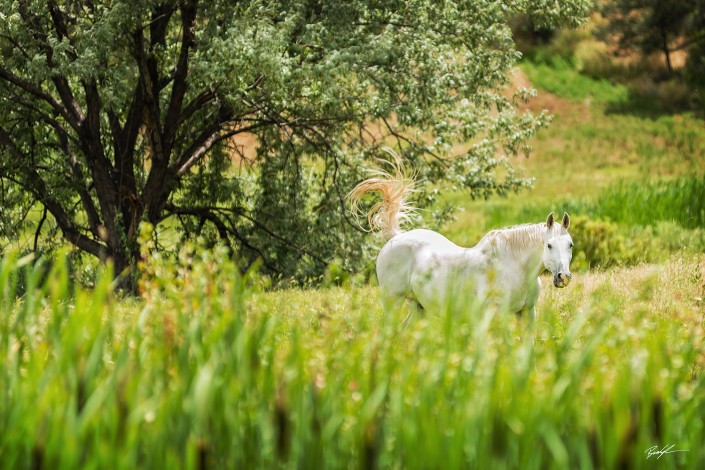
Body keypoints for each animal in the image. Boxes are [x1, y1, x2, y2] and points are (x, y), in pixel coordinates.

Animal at [348, 159, 572, 320]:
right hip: (392, 301)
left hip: (419, 308)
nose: (563, 277)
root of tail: (396, 237)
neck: (514, 267)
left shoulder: (527, 313)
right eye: (549, 245)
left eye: (570, 245)